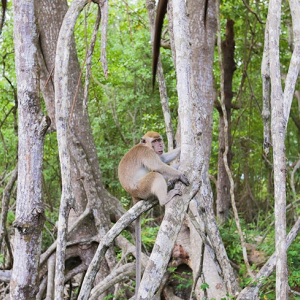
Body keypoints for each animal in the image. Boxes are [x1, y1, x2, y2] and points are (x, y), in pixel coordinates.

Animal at [116, 131, 188, 298]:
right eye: (154, 141)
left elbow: (163, 158)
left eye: (159, 140)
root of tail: (134, 195)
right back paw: (165, 198)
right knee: (155, 175)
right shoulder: (147, 153)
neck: (146, 146)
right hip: (142, 188)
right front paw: (180, 173)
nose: (160, 145)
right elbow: (158, 165)